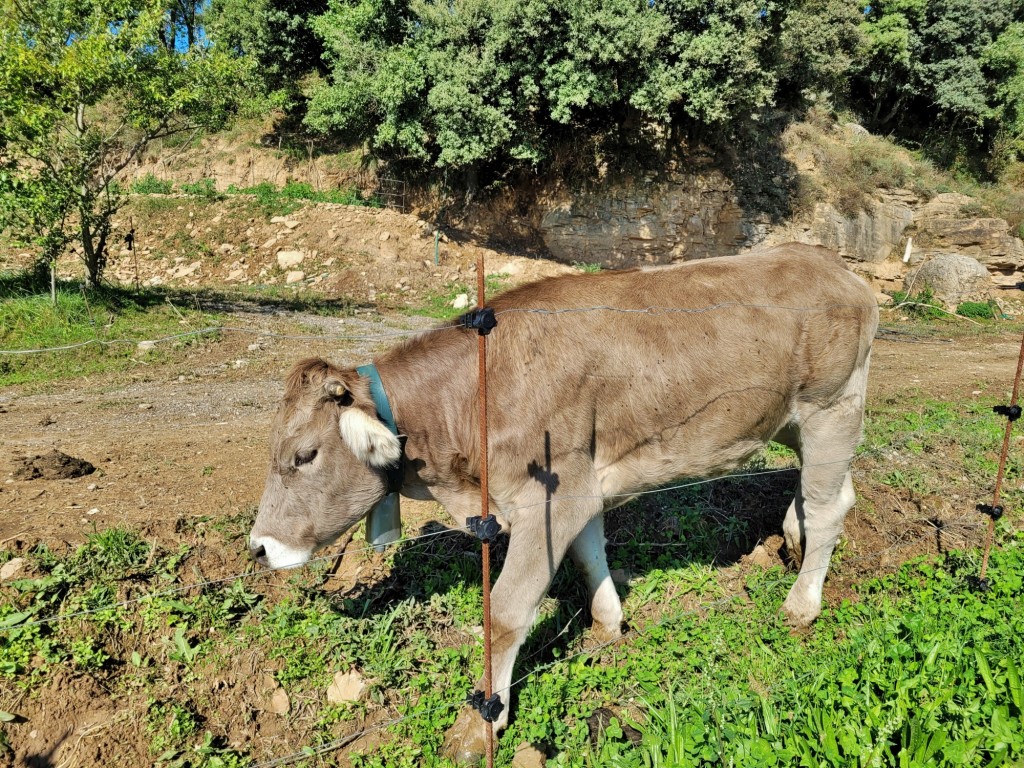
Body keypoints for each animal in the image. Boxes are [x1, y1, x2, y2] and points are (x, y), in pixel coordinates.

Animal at [249, 243, 880, 761]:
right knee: (821, 489)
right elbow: (588, 552)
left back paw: (802, 603)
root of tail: (833, 265)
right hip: (789, 419)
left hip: (832, 406)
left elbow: (505, 611)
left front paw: (480, 724)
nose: (259, 548)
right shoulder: (580, 486)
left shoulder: (551, 493)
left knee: (830, 504)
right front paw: (608, 622)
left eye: (304, 455)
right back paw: (792, 538)